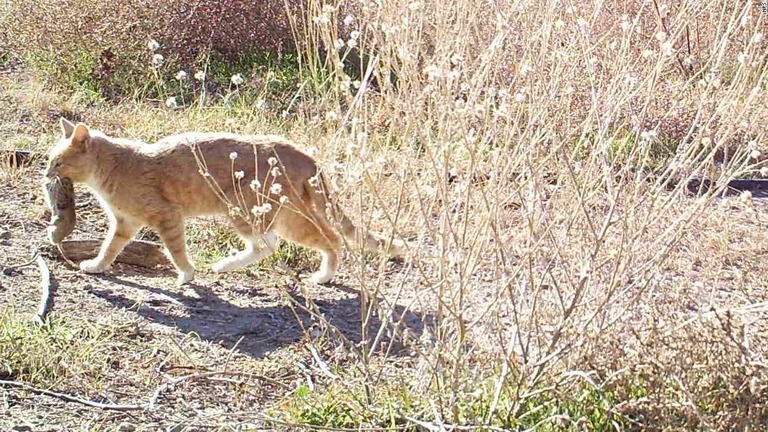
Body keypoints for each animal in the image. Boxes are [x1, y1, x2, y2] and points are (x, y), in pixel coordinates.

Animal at [44, 120, 404, 286]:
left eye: (58, 162)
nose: (46, 172)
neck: (113, 166)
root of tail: (304, 154)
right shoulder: (124, 223)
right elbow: (109, 247)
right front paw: (96, 266)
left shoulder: (168, 216)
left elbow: (176, 250)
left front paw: (186, 275)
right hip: (275, 213)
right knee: (284, 242)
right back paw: (227, 265)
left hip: (253, 211)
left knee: (321, 240)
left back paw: (322, 276)